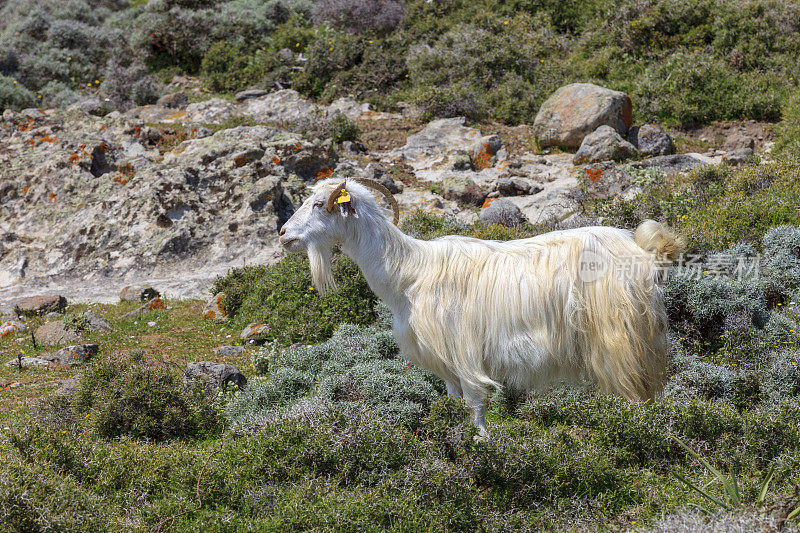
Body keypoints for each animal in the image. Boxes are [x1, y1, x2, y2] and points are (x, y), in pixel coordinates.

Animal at [278, 177, 684, 434]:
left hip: (620, 340)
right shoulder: (447, 369)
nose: (283, 234)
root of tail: (645, 252)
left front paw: (482, 447)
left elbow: (475, 408)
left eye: (319, 204)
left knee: (633, 394)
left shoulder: (466, 354)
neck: (408, 273)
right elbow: (457, 405)